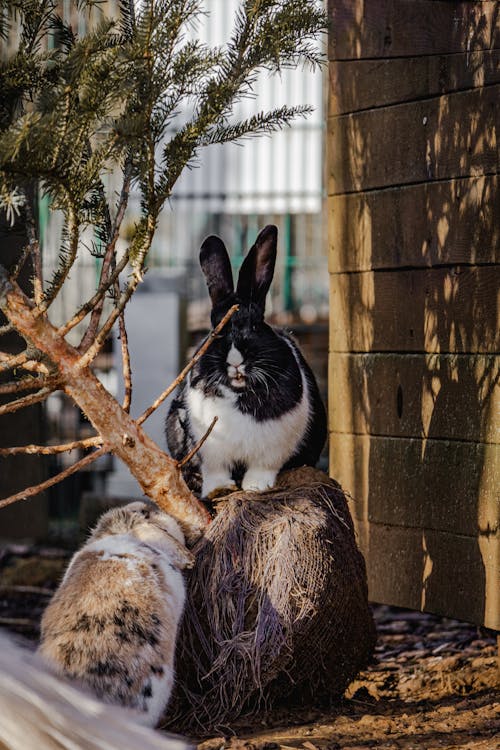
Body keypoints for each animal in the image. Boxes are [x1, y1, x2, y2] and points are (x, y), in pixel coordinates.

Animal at [166, 226, 326, 502]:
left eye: (255, 325)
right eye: (216, 331)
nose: (235, 361)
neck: (239, 393)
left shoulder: (272, 451)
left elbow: (262, 469)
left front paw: (255, 488)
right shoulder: (211, 451)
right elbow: (216, 472)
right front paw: (219, 490)